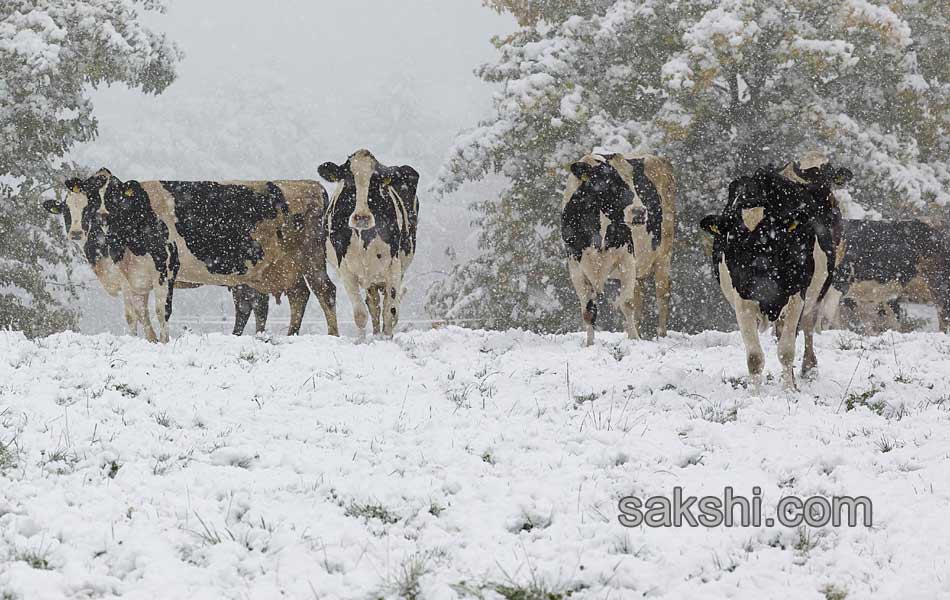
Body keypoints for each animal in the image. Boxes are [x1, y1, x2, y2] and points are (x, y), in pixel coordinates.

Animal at [46, 169, 342, 342]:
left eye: (111, 196)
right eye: (69, 208)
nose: (75, 232)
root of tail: (311, 185)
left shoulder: (166, 268)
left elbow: (160, 310)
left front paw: (163, 342)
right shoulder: (132, 277)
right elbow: (135, 313)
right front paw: (142, 340)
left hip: (310, 257)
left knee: (324, 290)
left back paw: (332, 335)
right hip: (284, 267)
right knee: (297, 295)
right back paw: (291, 336)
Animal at [318, 148, 418, 340]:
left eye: (375, 181)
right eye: (348, 179)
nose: (361, 217)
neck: (363, 236)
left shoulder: (393, 266)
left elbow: (391, 311)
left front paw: (386, 339)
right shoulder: (346, 269)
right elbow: (360, 314)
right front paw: (361, 341)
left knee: (386, 306)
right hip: (369, 277)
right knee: (373, 305)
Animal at [560, 152, 680, 344]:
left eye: (633, 181)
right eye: (609, 181)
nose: (640, 212)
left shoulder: (627, 259)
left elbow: (626, 303)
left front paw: (634, 340)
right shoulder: (576, 267)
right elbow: (588, 311)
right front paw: (590, 344)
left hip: (663, 254)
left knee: (663, 293)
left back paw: (660, 335)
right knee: (640, 296)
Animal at [700, 164, 848, 390]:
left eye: (770, 236)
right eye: (731, 240)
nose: (750, 281)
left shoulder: (797, 295)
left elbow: (786, 350)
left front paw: (789, 390)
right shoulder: (742, 300)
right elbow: (754, 357)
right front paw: (755, 394)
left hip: (815, 293)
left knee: (807, 327)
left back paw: (808, 369)